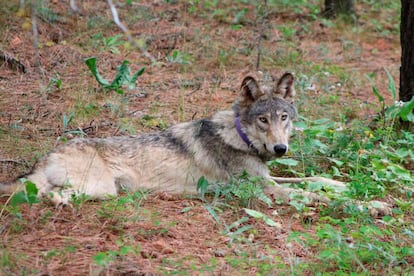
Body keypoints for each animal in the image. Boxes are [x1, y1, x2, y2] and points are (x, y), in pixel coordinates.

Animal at [0, 73, 392, 216]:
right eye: (262, 120)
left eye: (284, 117)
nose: (280, 150)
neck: (240, 137)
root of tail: (47, 154)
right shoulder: (265, 191)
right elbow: (312, 196)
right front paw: (371, 205)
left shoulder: (268, 179)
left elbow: (315, 181)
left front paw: (345, 186)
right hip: (100, 188)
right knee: (44, 194)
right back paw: (59, 203)